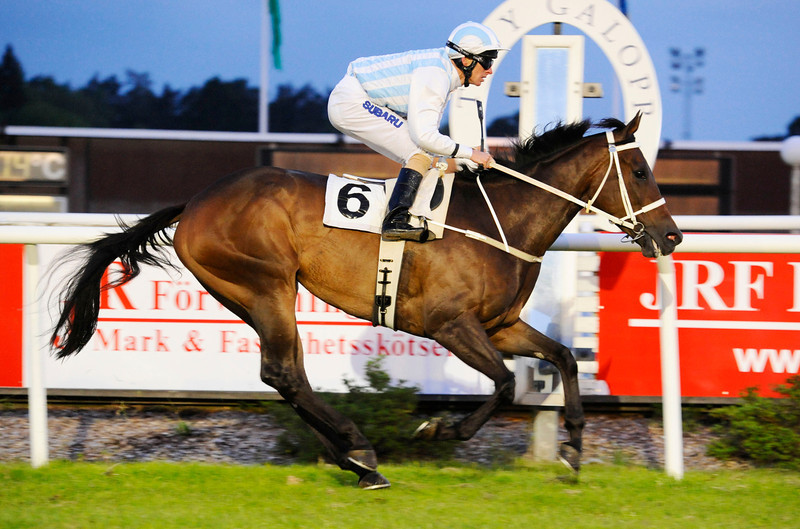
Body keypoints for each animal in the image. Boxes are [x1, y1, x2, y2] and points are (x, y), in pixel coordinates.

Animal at [50, 113, 680, 488]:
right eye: (639, 169)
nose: (672, 236)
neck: (500, 220)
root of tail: (197, 202)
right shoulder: (451, 325)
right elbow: (503, 383)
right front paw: (439, 432)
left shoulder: (501, 324)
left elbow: (566, 358)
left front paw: (572, 449)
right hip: (266, 284)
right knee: (283, 371)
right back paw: (360, 453)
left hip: (248, 295)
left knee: (287, 375)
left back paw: (353, 456)